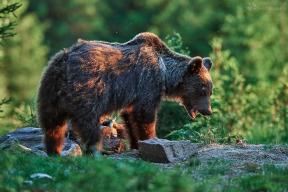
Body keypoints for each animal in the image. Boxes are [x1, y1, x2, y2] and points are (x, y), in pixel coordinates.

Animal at [36, 32, 213, 156]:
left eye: (210, 91)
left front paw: (135, 143)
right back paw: (94, 151)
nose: (208, 111)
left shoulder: (133, 92)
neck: (165, 74)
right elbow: (145, 113)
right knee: (89, 123)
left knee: (52, 124)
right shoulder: (148, 82)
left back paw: (54, 151)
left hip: (49, 89)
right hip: (88, 87)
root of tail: (65, 61)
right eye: (203, 90)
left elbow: (129, 116)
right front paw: (151, 139)